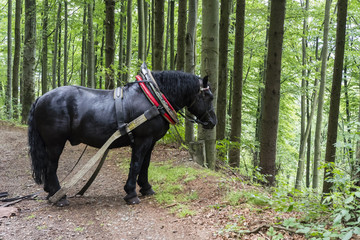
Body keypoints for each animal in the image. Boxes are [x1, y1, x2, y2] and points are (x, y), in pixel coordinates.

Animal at [28, 70, 217, 206]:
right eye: (208, 96)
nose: (212, 122)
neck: (153, 99)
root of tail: (40, 98)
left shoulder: (150, 142)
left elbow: (145, 165)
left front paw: (146, 188)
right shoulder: (142, 140)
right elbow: (136, 164)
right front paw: (131, 193)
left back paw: (51, 192)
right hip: (55, 144)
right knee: (51, 168)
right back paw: (59, 197)